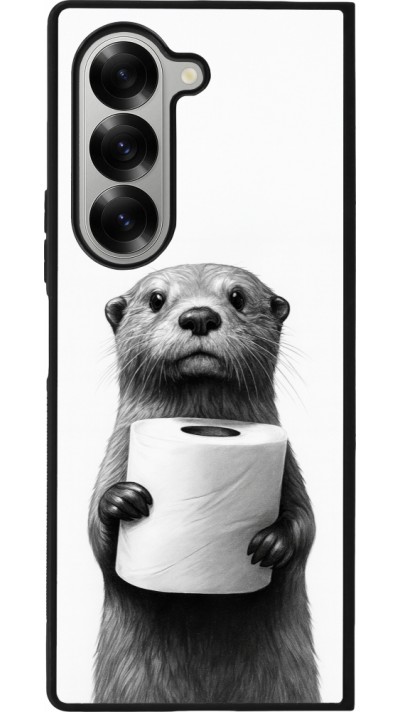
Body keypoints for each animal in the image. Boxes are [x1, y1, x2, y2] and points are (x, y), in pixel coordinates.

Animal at [89, 263, 319, 704]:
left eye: (238, 297)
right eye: (156, 298)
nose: (199, 316)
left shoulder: (290, 468)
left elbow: (307, 524)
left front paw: (273, 542)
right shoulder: (114, 457)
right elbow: (96, 537)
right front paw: (121, 501)